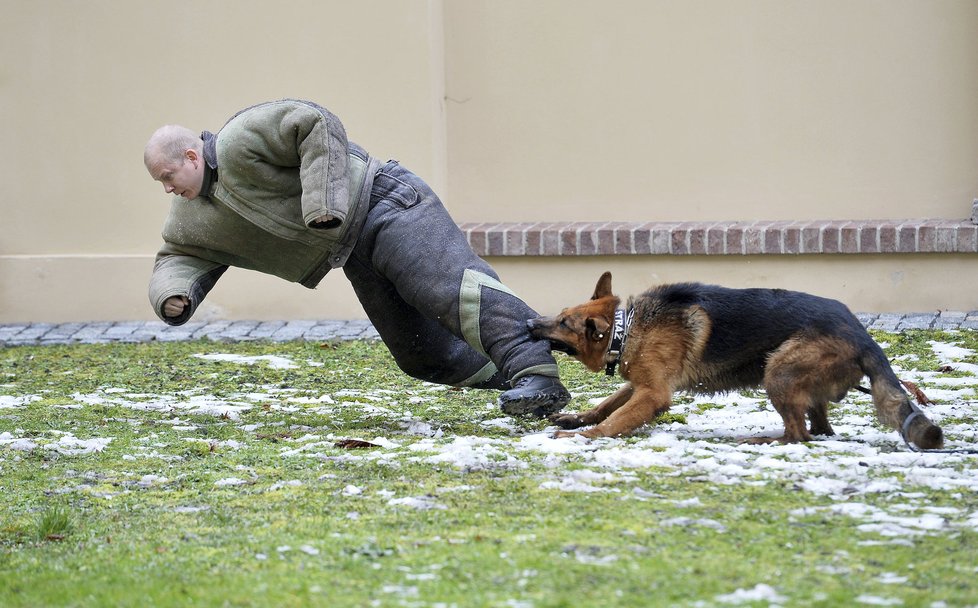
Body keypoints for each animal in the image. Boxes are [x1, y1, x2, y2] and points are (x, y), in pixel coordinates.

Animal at [528, 270, 940, 446]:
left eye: (564, 323)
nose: (531, 323)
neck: (625, 327)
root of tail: (864, 337)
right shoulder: (642, 383)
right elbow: (607, 404)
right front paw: (579, 418)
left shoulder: (653, 393)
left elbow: (615, 418)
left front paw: (584, 435)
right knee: (820, 429)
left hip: (778, 372)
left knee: (799, 435)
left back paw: (761, 440)